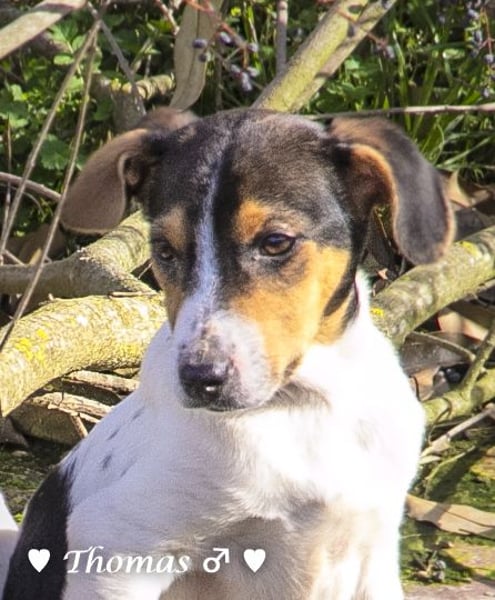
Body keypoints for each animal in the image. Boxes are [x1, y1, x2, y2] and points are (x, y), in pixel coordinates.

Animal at [1, 108, 453, 599]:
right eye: (165, 251)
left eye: (276, 242)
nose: (200, 378)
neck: (300, 407)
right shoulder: (117, 548)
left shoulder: (373, 554)